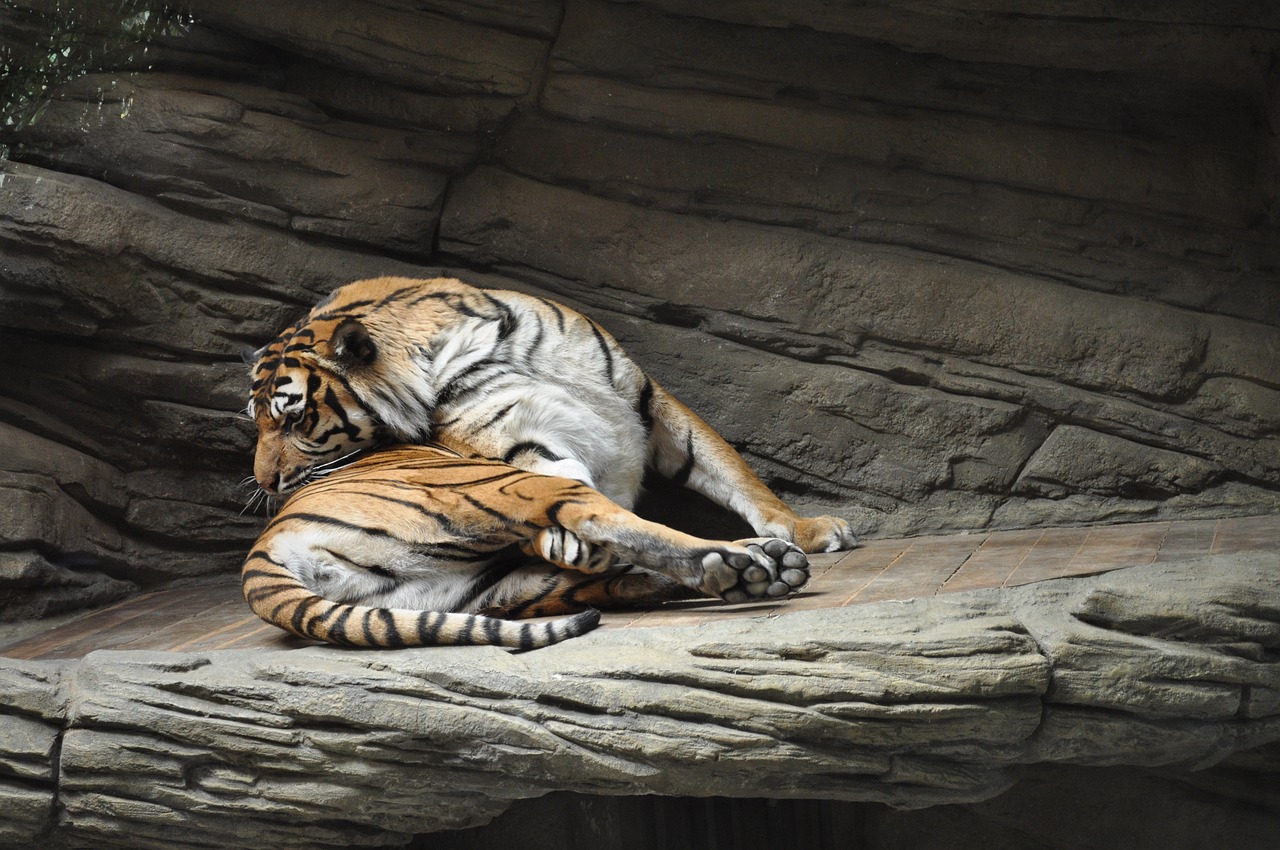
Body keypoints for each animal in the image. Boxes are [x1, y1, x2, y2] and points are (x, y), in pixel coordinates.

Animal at [240, 440, 808, 647]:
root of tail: (264, 548)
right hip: (495, 486)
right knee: (613, 525)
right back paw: (739, 565)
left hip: (485, 588)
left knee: (608, 581)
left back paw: (768, 566)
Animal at [244, 272, 855, 550]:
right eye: (259, 422)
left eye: (294, 420)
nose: (264, 483)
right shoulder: (529, 446)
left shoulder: (648, 398)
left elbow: (736, 473)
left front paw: (807, 529)